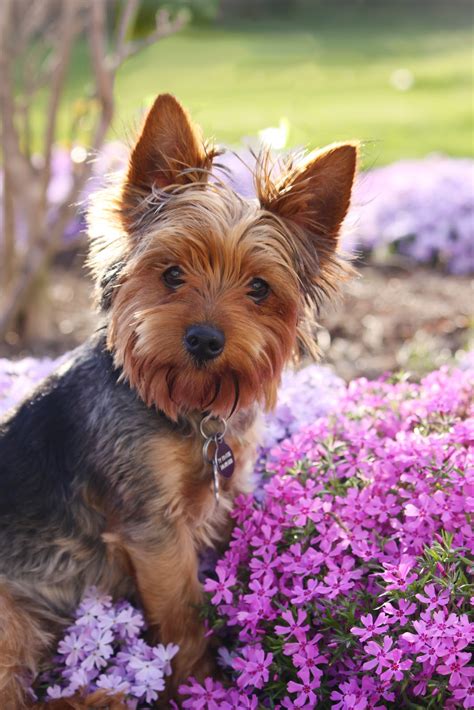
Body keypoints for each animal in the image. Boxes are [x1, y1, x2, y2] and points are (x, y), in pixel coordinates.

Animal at [0, 93, 358, 708]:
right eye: (170, 274)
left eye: (259, 288)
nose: (206, 339)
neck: (188, 410)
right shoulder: (154, 529)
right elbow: (184, 618)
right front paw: (200, 686)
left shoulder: (221, 496)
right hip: (9, 614)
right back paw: (103, 695)